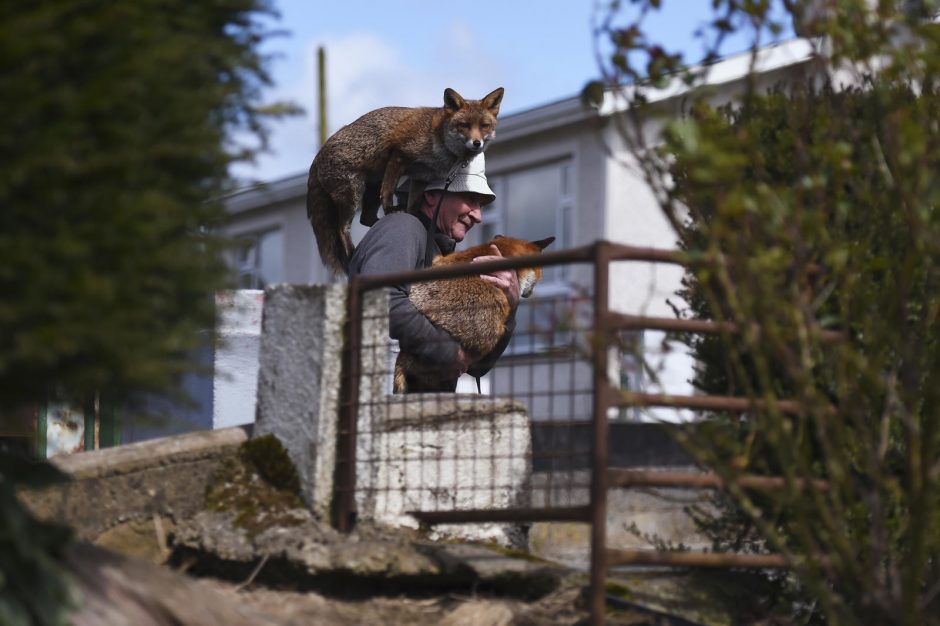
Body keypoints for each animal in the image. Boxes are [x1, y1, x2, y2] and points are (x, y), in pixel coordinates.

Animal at [304, 88, 504, 272]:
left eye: (484, 125)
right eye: (464, 125)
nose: (476, 143)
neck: (437, 141)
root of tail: (318, 155)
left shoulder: (422, 176)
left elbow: (414, 204)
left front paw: (415, 217)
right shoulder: (398, 156)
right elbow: (389, 191)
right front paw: (391, 209)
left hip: (371, 188)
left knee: (365, 219)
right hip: (353, 193)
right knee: (342, 228)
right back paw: (352, 251)